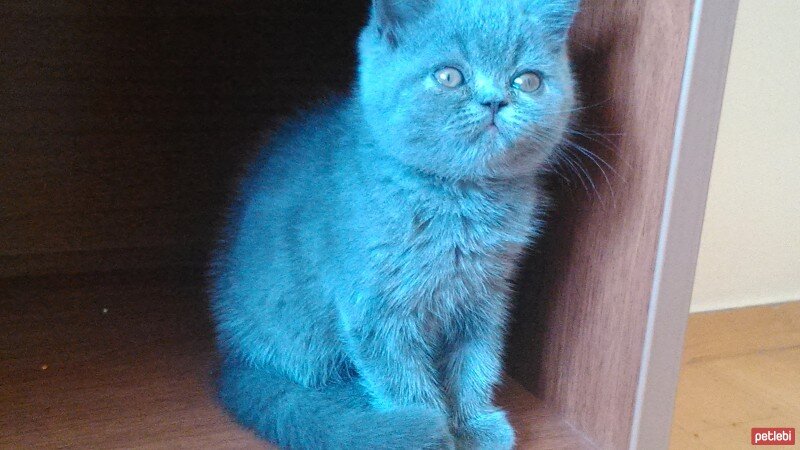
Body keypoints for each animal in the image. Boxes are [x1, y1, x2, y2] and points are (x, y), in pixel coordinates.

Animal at [209, 0, 580, 450]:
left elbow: (476, 359)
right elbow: (405, 379)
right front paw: (435, 431)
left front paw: (471, 423)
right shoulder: (377, 306)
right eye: (449, 76)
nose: (494, 101)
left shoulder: (485, 294)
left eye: (527, 80)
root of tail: (234, 359)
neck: (459, 202)